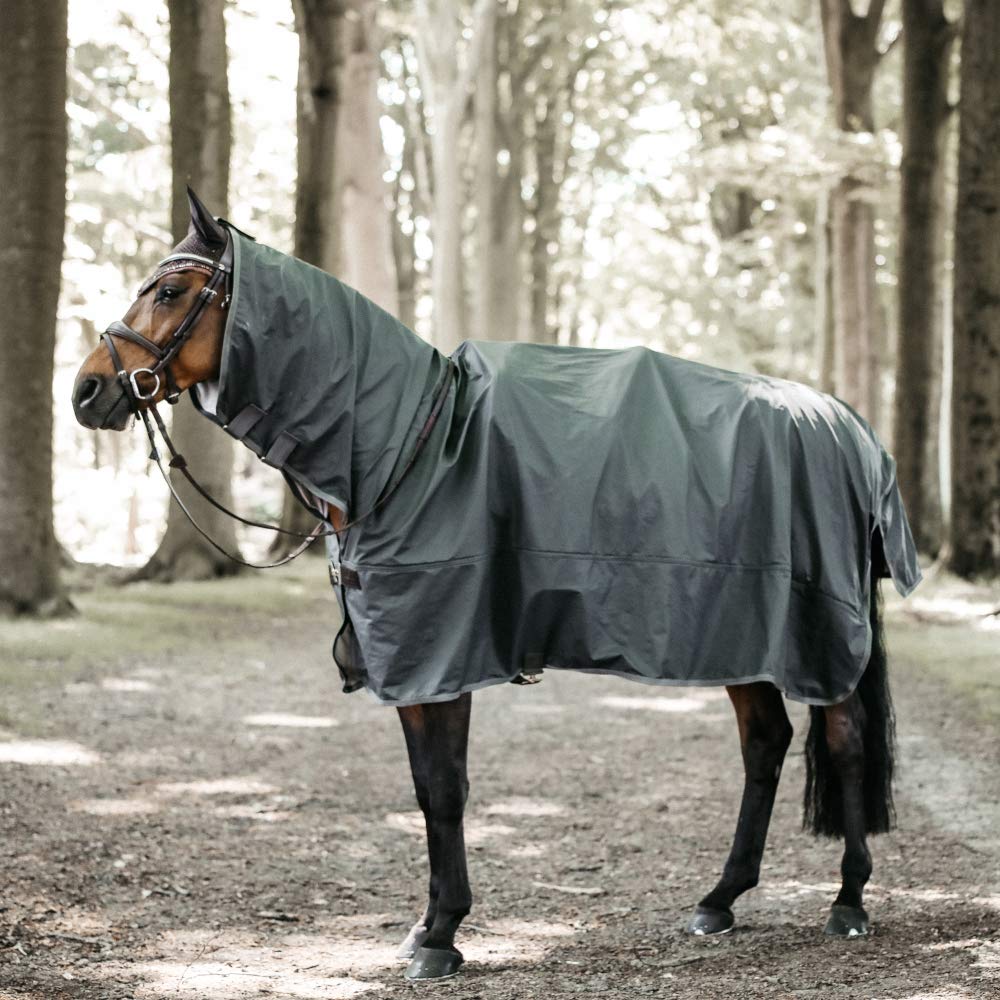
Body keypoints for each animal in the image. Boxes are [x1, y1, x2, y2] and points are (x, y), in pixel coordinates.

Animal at [72, 189, 921, 981]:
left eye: (170, 290)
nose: (86, 391)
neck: (406, 444)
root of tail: (848, 427)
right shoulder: (413, 665)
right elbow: (426, 790)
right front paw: (428, 926)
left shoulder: (441, 655)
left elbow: (446, 791)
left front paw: (442, 936)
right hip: (744, 633)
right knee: (766, 743)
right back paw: (720, 899)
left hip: (816, 633)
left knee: (843, 741)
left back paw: (849, 901)